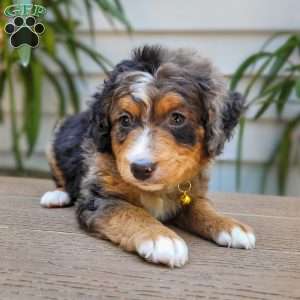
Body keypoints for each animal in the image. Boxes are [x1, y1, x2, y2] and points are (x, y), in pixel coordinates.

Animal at [41, 45, 254, 268]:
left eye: (177, 118)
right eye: (125, 119)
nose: (140, 168)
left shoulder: (192, 193)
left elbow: (203, 207)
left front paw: (230, 225)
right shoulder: (99, 197)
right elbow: (130, 211)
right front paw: (162, 238)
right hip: (54, 142)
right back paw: (57, 195)